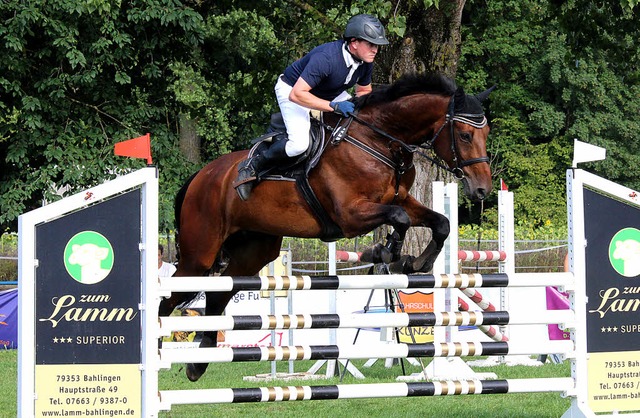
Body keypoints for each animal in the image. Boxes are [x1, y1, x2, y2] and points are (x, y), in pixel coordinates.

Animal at [159, 72, 496, 382]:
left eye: (486, 133)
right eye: (465, 135)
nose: (482, 189)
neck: (380, 142)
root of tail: (202, 175)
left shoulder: (401, 199)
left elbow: (440, 223)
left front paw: (417, 262)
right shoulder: (350, 215)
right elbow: (399, 218)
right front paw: (386, 253)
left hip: (254, 250)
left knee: (220, 294)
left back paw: (198, 363)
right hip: (200, 252)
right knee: (170, 295)